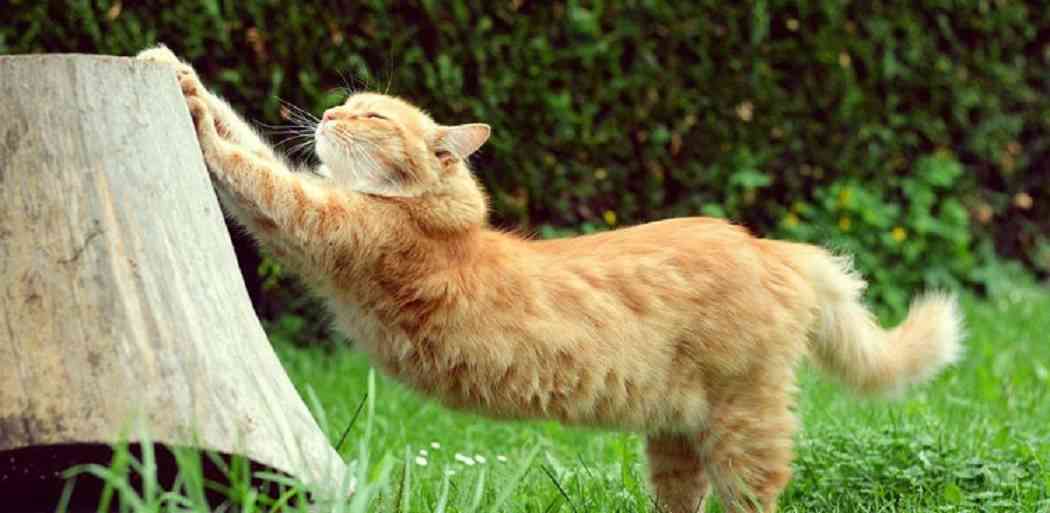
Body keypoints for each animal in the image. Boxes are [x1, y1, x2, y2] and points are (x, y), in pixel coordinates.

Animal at [135, 45, 961, 511]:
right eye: (346, 104)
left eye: (372, 116)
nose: (332, 112)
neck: (442, 222)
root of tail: (772, 246)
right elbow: (250, 139)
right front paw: (172, 63)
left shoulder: (314, 221)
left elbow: (247, 165)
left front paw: (183, 91)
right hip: (677, 440)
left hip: (743, 428)